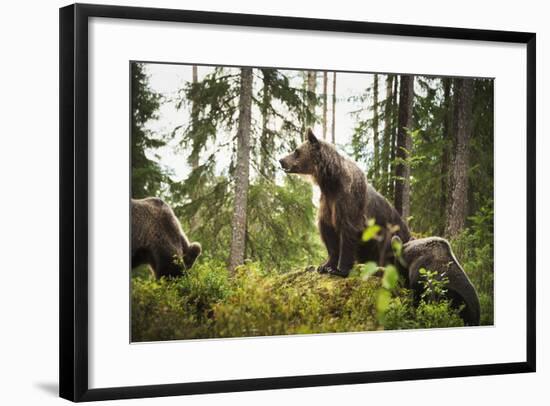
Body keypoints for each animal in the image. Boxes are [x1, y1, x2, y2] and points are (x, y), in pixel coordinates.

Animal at [280, 128, 410, 278]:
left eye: (296, 151)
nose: (281, 160)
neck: (330, 182)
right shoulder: (327, 202)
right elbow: (328, 233)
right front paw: (325, 265)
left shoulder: (348, 200)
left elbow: (347, 232)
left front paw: (339, 269)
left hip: (388, 234)